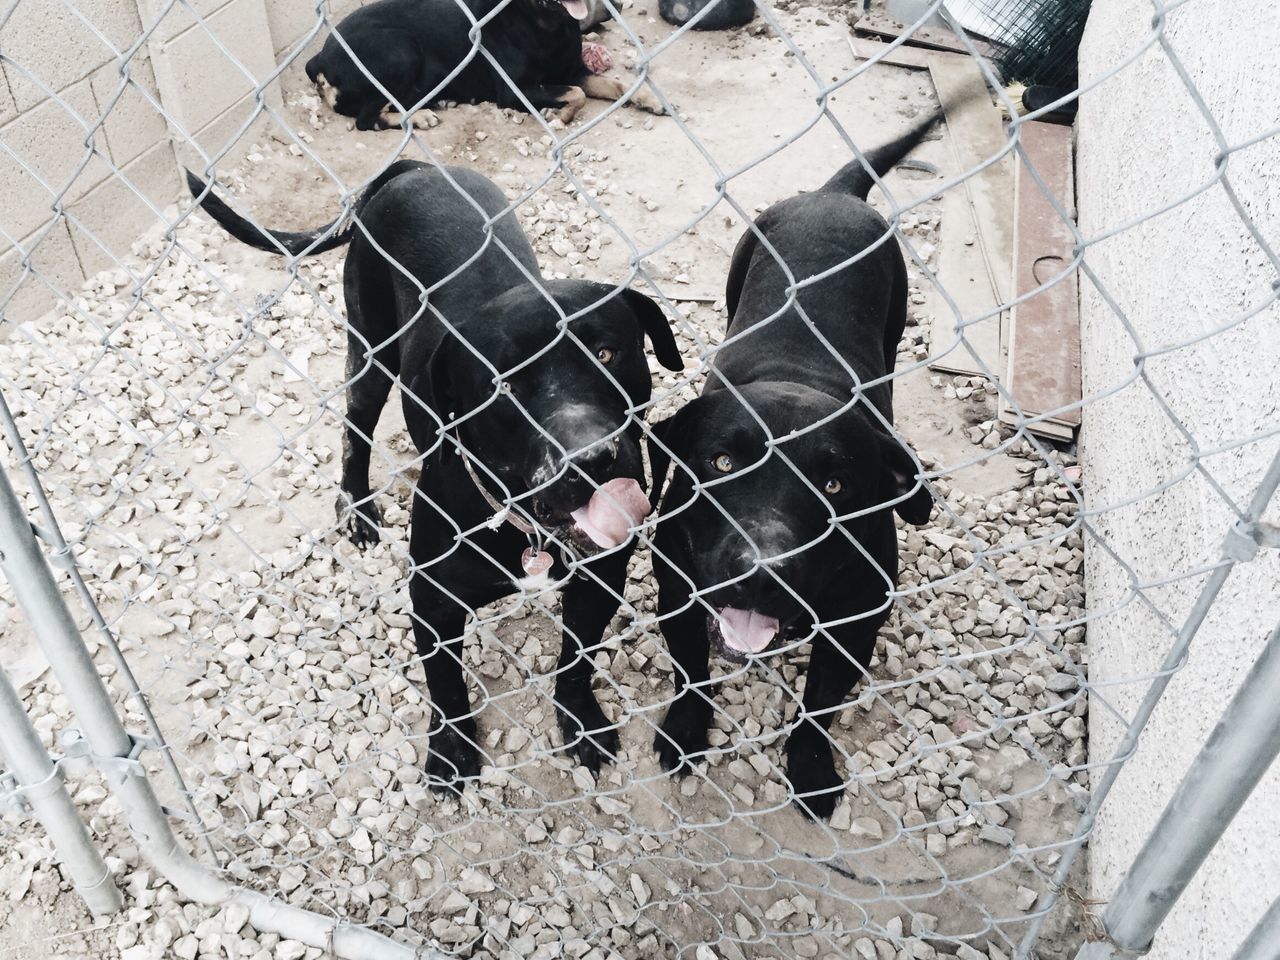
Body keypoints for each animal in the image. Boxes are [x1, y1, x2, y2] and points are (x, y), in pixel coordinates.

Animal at [186, 160, 686, 788]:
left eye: (607, 353)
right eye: (503, 388)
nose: (592, 457)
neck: (526, 529)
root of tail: (421, 167)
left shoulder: (599, 582)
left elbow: (575, 661)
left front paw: (581, 723)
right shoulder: (434, 600)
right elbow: (445, 684)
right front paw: (450, 750)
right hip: (371, 355)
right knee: (354, 432)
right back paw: (356, 509)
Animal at [303, 0, 665, 131]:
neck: (546, 26)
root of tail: (321, 56)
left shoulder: (572, 70)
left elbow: (617, 85)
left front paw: (650, 98)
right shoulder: (514, 92)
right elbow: (577, 94)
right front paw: (558, 115)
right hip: (400, 50)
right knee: (365, 118)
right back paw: (418, 117)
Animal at [650, 112, 942, 819]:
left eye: (835, 485)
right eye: (720, 461)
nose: (761, 571)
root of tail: (833, 195)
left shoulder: (854, 627)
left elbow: (818, 708)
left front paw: (810, 770)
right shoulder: (677, 596)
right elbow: (690, 673)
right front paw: (685, 732)